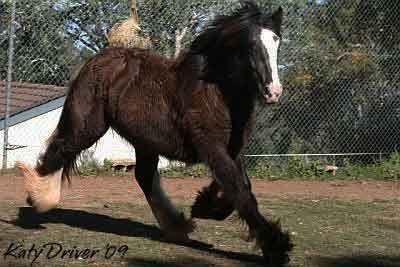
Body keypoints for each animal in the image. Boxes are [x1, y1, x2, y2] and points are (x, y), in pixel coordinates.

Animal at [17, 1, 292, 266]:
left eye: (277, 41)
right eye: (250, 45)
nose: (274, 92)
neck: (215, 92)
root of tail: (100, 58)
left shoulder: (232, 149)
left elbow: (239, 187)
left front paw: (203, 205)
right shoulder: (212, 147)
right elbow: (240, 191)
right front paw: (276, 249)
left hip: (144, 141)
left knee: (143, 176)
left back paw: (178, 227)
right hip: (87, 127)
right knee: (61, 149)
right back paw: (39, 198)